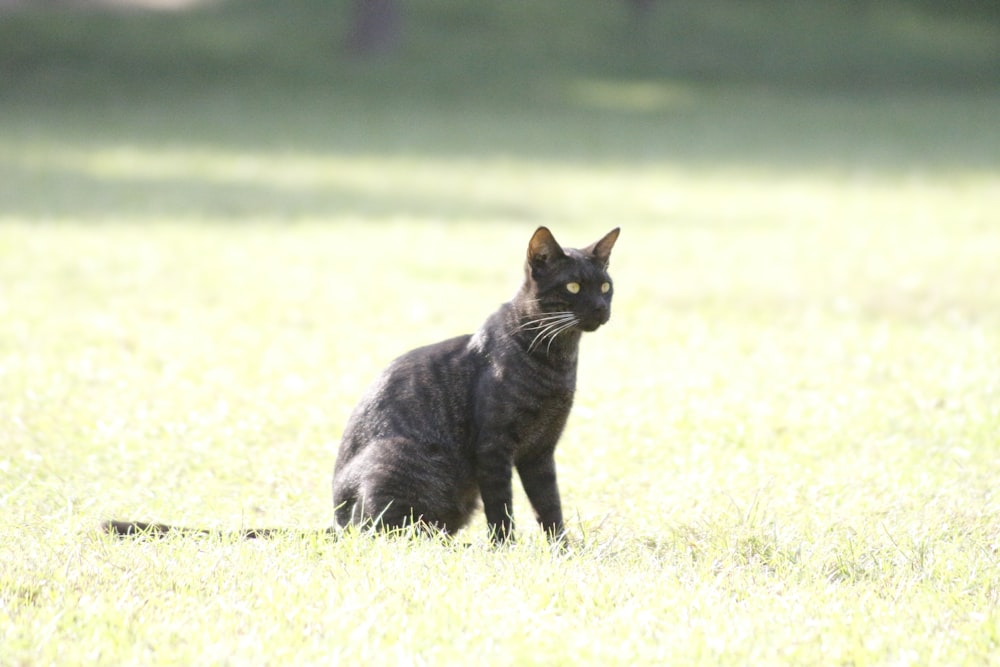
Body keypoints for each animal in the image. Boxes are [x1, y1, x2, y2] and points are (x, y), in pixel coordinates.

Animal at [101, 227, 616, 544]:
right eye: (573, 288)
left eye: (606, 285)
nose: (600, 308)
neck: (555, 359)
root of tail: (335, 522)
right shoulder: (495, 449)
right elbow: (503, 510)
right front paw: (506, 551)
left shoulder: (540, 451)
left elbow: (550, 506)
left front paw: (562, 551)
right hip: (403, 459)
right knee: (386, 533)